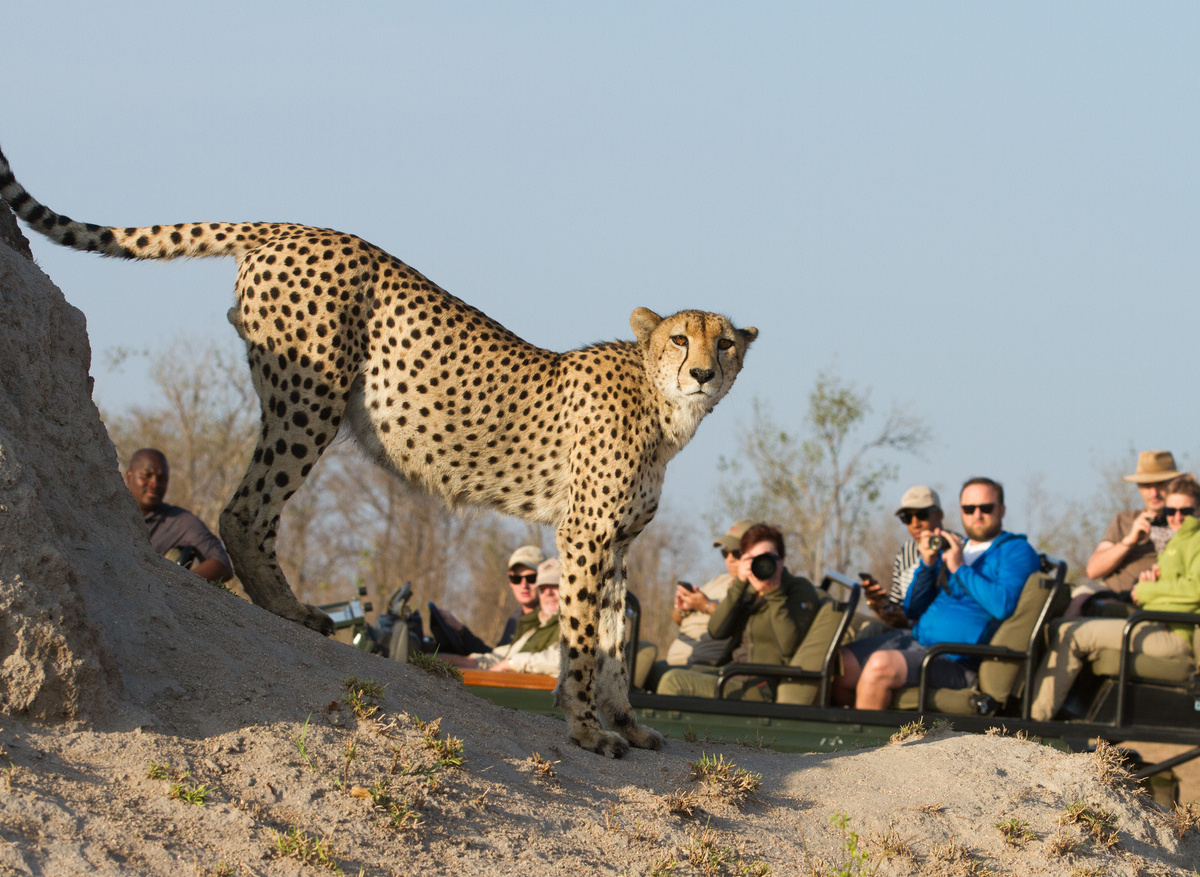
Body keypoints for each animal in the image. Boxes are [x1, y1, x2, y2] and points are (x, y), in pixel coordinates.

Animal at [0, 145, 757, 757]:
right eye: (680, 339)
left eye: (725, 343)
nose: (702, 373)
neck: (665, 410)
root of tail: (296, 227)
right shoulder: (583, 535)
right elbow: (580, 638)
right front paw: (584, 729)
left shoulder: (618, 543)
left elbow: (613, 641)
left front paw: (625, 721)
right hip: (310, 397)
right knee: (245, 508)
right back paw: (293, 610)